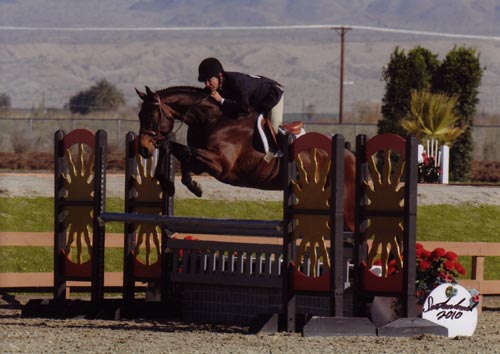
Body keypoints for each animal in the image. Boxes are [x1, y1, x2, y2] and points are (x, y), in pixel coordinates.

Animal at [135, 85, 358, 230]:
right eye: (139, 115)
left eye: (151, 116)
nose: (143, 149)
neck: (213, 118)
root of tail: (349, 155)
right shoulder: (203, 162)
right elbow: (175, 149)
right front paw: (172, 183)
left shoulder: (221, 165)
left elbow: (182, 150)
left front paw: (185, 185)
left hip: (346, 209)